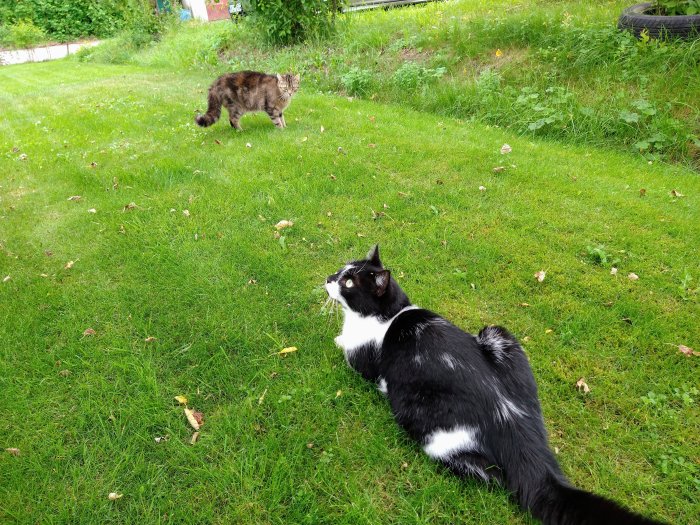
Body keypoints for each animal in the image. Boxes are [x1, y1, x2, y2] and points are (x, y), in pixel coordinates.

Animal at [326, 246, 664, 524]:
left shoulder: (363, 358)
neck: (390, 314)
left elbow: (347, 351)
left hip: (431, 428)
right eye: (341, 270)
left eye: (349, 283)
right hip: (499, 334)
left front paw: (337, 339)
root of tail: (514, 424)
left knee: (487, 474)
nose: (328, 278)